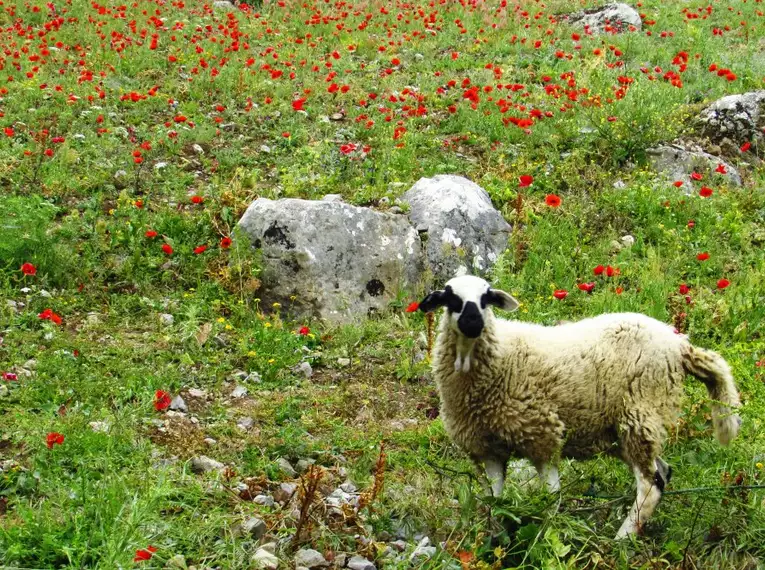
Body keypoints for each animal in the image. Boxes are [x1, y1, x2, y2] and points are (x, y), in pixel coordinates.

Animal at [418, 274, 740, 536]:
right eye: (450, 298)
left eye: (486, 297)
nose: (473, 322)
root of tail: (680, 345)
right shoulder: (487, 448)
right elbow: (496, 502)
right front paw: (495, 538)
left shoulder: (543, 435)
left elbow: (551, 498)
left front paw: (544, 537)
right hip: (624, 430)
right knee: (662, 473)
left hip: (640, 410)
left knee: (650, 484)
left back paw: (620, 540)